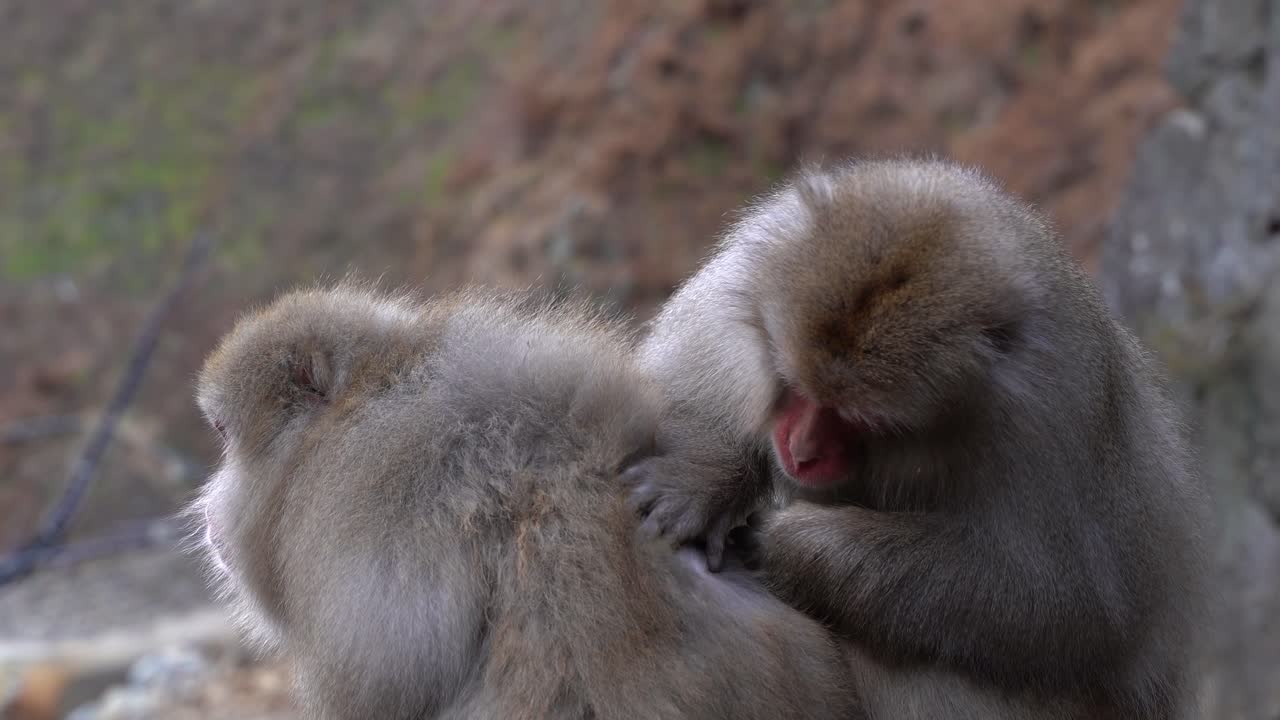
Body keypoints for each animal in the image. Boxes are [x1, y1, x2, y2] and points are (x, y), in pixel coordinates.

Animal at [626, 159, 1209, 719]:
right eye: (795, 386)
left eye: (857, 420)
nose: (801, 452)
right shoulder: (754, 260)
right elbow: (693, 369)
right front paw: (705, 477)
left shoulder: (1051, 415)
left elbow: (1063, 605)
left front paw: (794, 545)